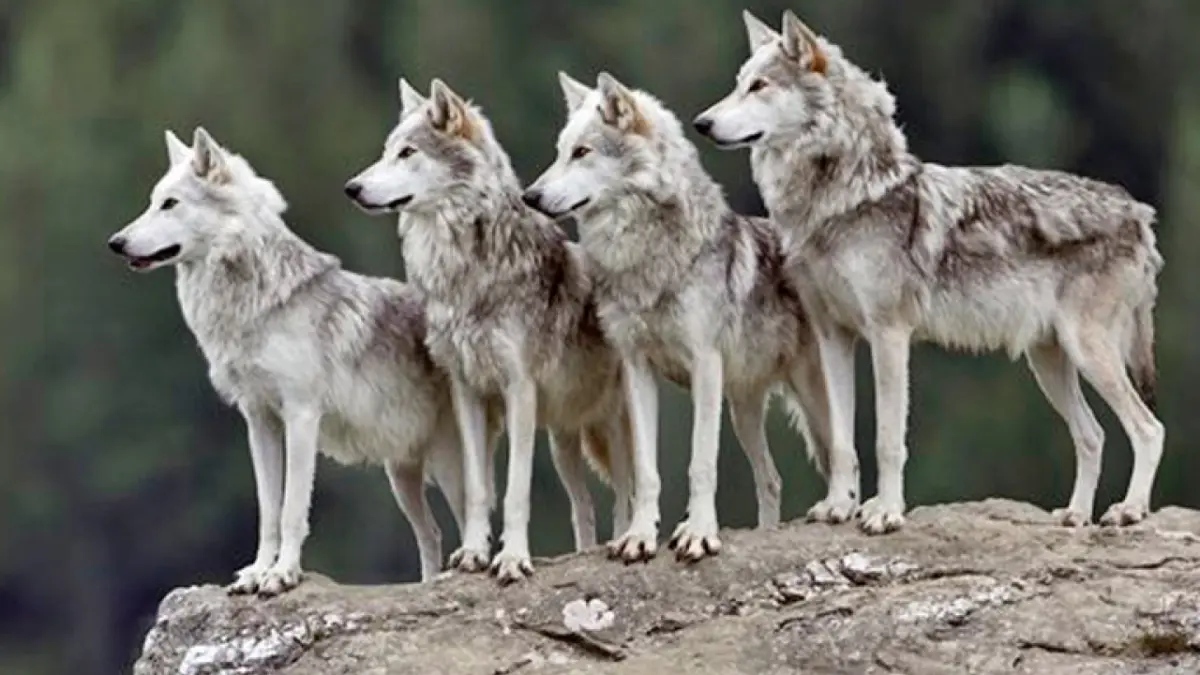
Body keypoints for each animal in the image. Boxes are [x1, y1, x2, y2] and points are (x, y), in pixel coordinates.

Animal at [107, 127, 478, 595]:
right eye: (152, 201)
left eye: (170, 203)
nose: (115, 243)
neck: (255, 305)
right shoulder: (259, 420)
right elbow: (268, 510)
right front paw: (255, 573)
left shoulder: (301, 416)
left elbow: (291, 510)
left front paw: (282, 574)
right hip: (402, 476)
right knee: (431, 533)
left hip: (447, 466)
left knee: (472, 519)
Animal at [344, 77, 635, 584]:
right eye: (386, 151)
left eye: (407, 152)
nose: (352, 188)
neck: (466, 273)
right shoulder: (468, 391)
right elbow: (479, 489)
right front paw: (474, 554)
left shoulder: (518, 389)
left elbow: (516, 490)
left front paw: (513, 558)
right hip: (563, 441)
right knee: (583, 506)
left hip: (609, 424)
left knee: (625, 493)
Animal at [523, 71, 838, 563]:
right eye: (560, 151)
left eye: (582, 152)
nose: (529, 196)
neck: (645, 260)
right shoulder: (637, 370)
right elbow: (647, 471)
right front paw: (639, 537)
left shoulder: (704, 365)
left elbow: (700, 462)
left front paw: (699, 534)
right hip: (744, 409)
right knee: (771, 479)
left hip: (809, 396)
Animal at [694, 10, 1165, 533]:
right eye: (739, 84)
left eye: (760, 86)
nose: (701, 123)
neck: (842, 200)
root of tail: (1138, 212)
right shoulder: (833, 336)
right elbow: (841, 441)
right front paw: (839, 506)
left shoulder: (889, 334)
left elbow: (887, 439)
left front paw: (885, 513)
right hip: (1049, 362)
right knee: (1093, 435)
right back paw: (1076, 516)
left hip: (1088, 352)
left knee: (1149, 428)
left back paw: (1129, 510)